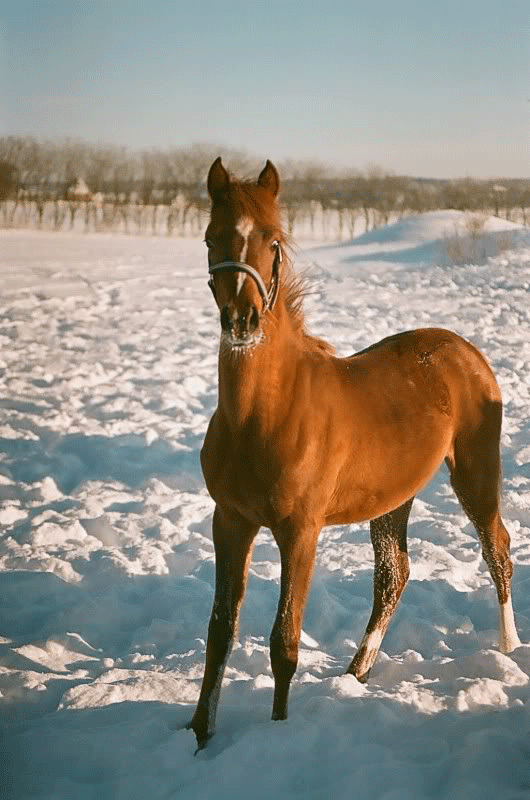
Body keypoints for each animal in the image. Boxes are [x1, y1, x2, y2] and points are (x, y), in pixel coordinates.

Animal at [187, 158, 520, 752]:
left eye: (274, 240)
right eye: (210, 238)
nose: (242, 322)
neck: (264, 415)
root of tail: (467, 351)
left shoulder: (300, 530)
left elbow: (284, 642)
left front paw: (279, 732)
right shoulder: (229, 521)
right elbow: (220, 630)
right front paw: (201, 737)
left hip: (476, 473)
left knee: (497, 549)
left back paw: (507, 649)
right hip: (394, 498)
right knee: (394, 575)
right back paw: (355, 672)